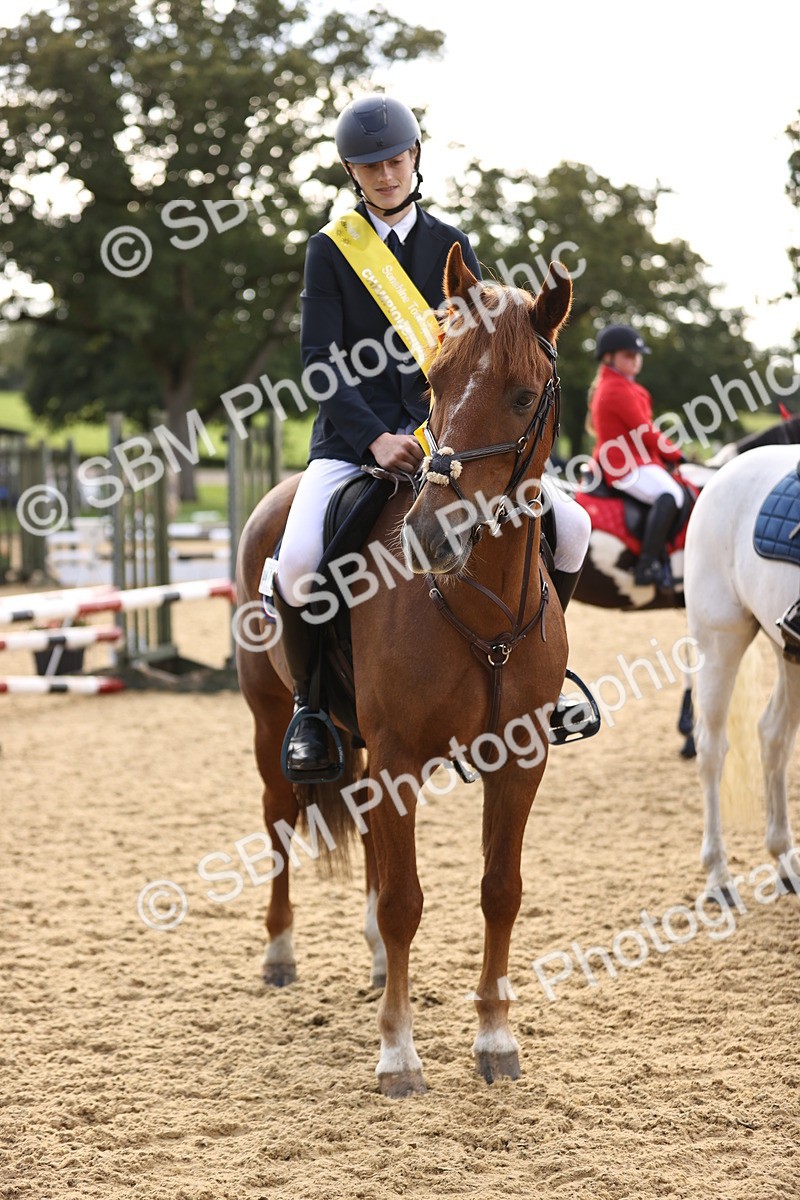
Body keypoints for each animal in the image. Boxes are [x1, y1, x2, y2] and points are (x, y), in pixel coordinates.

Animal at [235, 243, 573, 1097]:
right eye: (435, 383)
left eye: (523, 397)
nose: (430, 535)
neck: (480, 608)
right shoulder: (398, 759)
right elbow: (405, 902)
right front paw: (398, 1054)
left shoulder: (520, 760)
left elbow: (499, 891)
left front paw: (495, 1039)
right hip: (271, 719)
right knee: (280, 818)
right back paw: (280, 953)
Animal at [683, 443, 800, 897]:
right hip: (719, 644)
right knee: (711, 750)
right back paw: (719, 873)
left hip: (789, 655)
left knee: (773, 736)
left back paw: (785, 858)